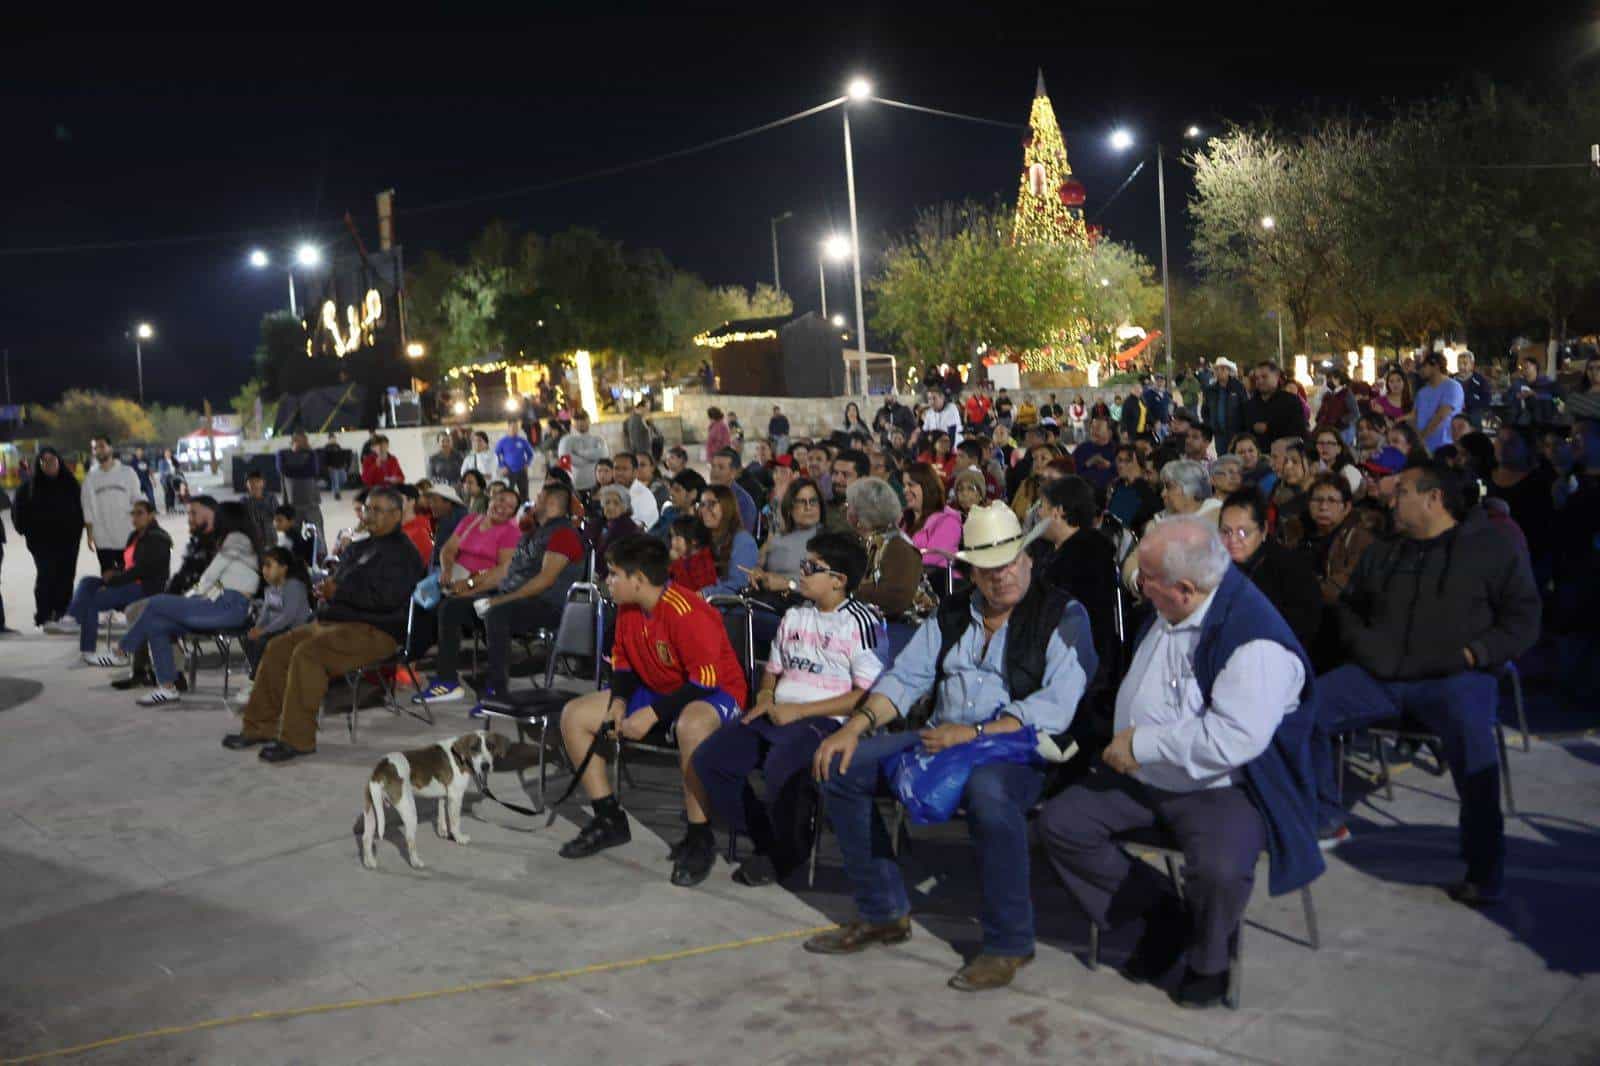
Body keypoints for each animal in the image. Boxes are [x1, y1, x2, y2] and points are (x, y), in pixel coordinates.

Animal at [364, 726, 508, 870]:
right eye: (474, 748)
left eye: (490, 746)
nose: (486, 766)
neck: (460, 756)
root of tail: (380, 769)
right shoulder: (456, 797)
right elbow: (455, 822)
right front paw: (459, 838)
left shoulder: (444, 795)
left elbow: (441, 812)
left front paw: (443, 831)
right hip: (409, 811)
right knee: (410, 840)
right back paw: (416, 862)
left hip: (371, 812)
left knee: (366, 838)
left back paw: (369, 862)